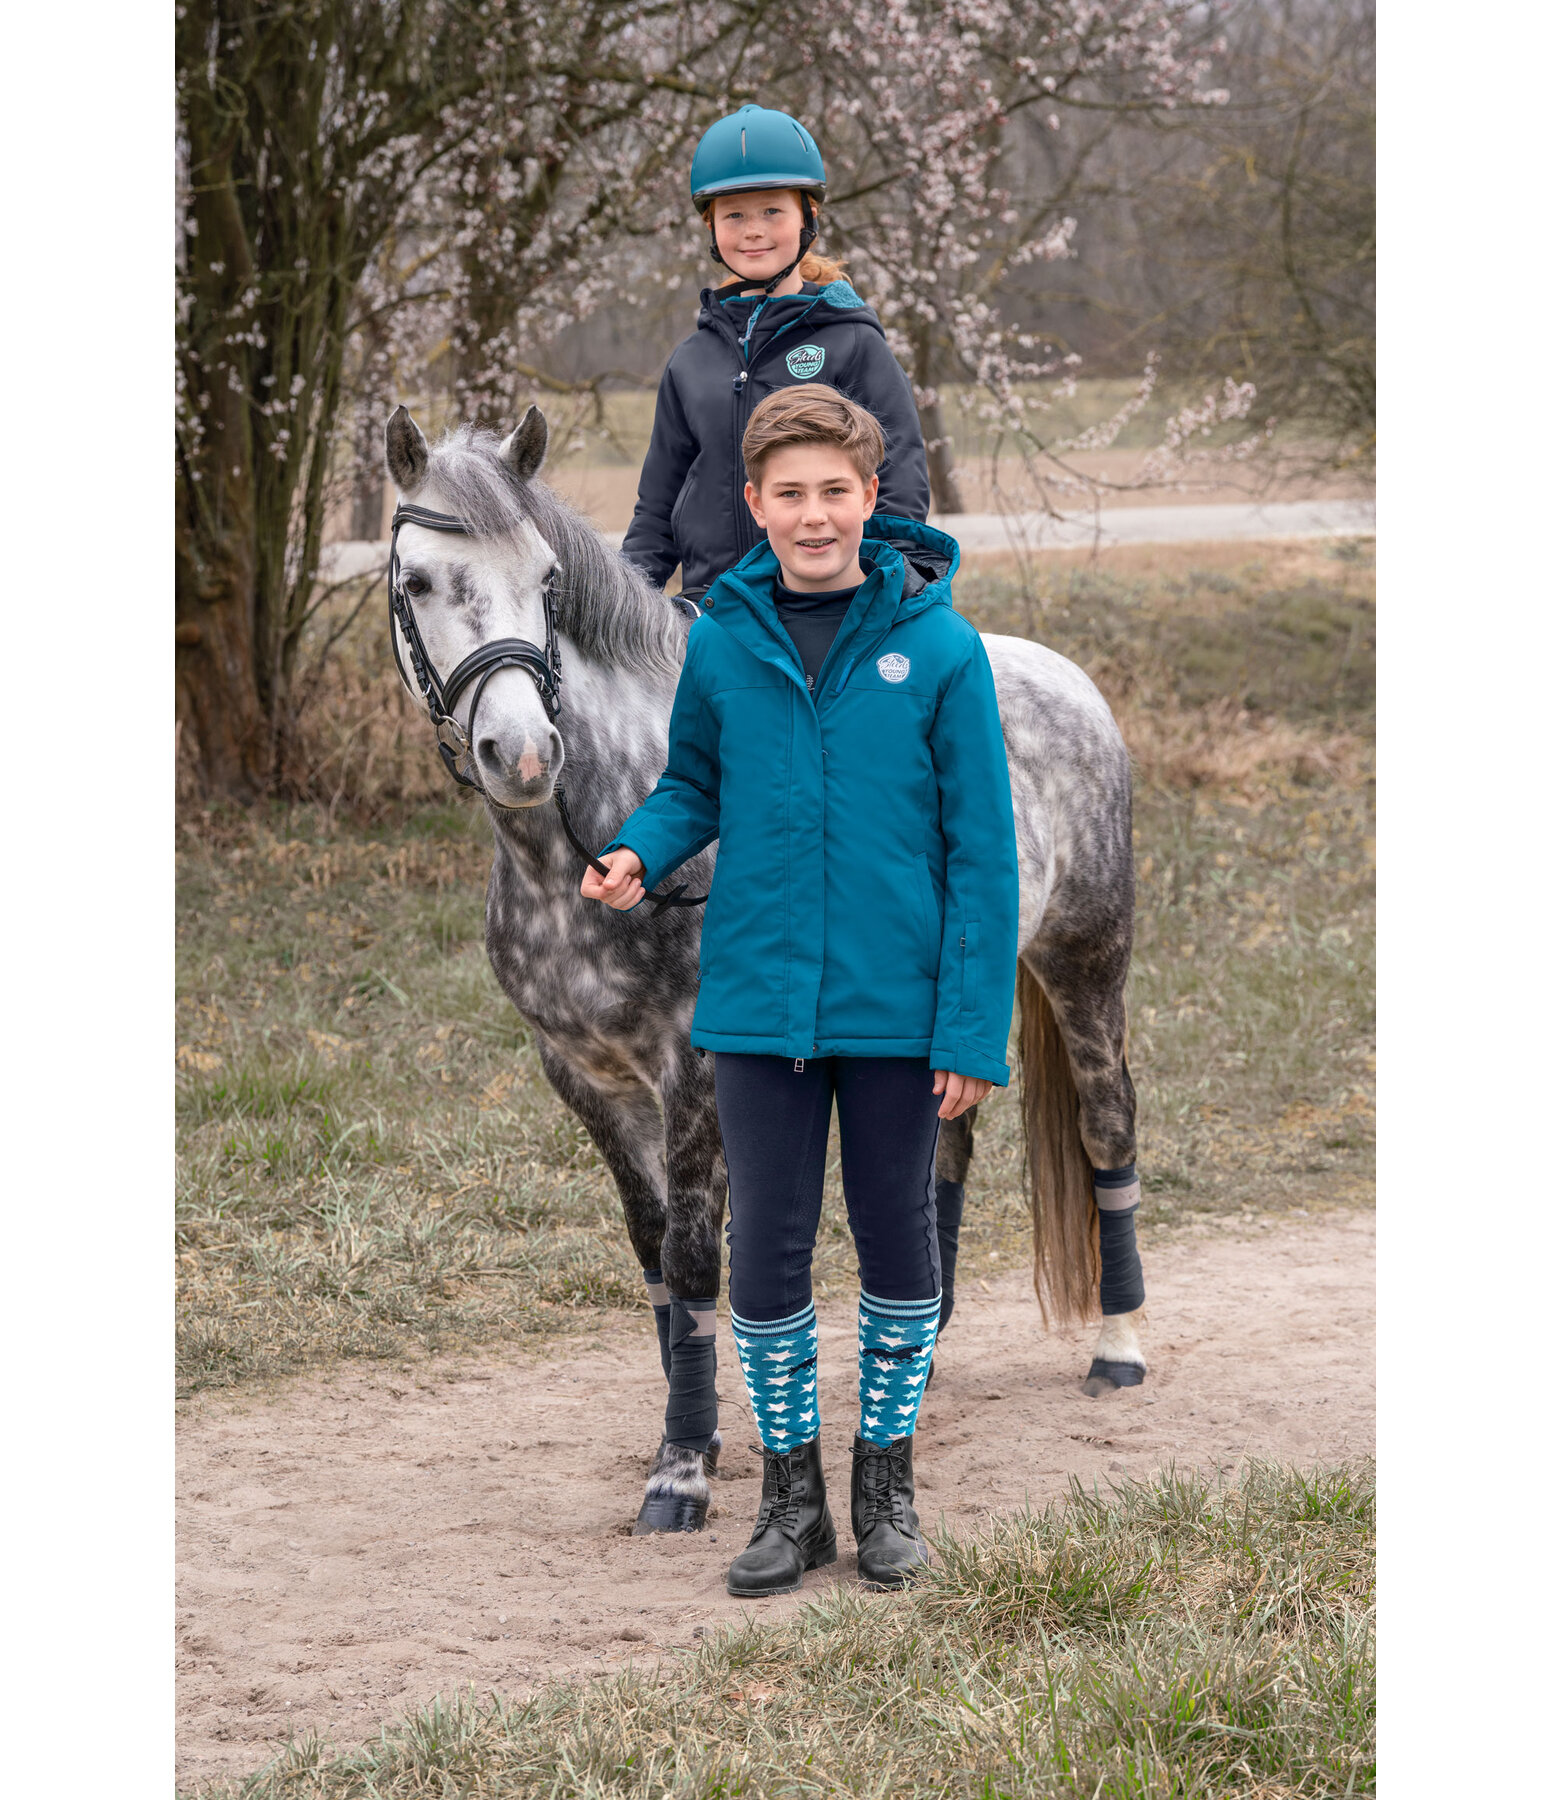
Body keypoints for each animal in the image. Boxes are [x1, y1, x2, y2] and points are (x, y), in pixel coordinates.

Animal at [381, 405, 1144, 1533]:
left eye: (547, 580)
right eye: (420, 582)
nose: (521, 754)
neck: (592, 839)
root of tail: (1068, 681)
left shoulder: (694, 1070)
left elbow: (699, 1253)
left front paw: (681, 1469)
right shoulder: (583, 1077)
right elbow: (652, 1247)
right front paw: (693, 1425)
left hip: (1085, 963)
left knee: (1106, 1126)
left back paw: (1120, 1348)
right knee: (943, 1153)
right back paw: (927, 1350)